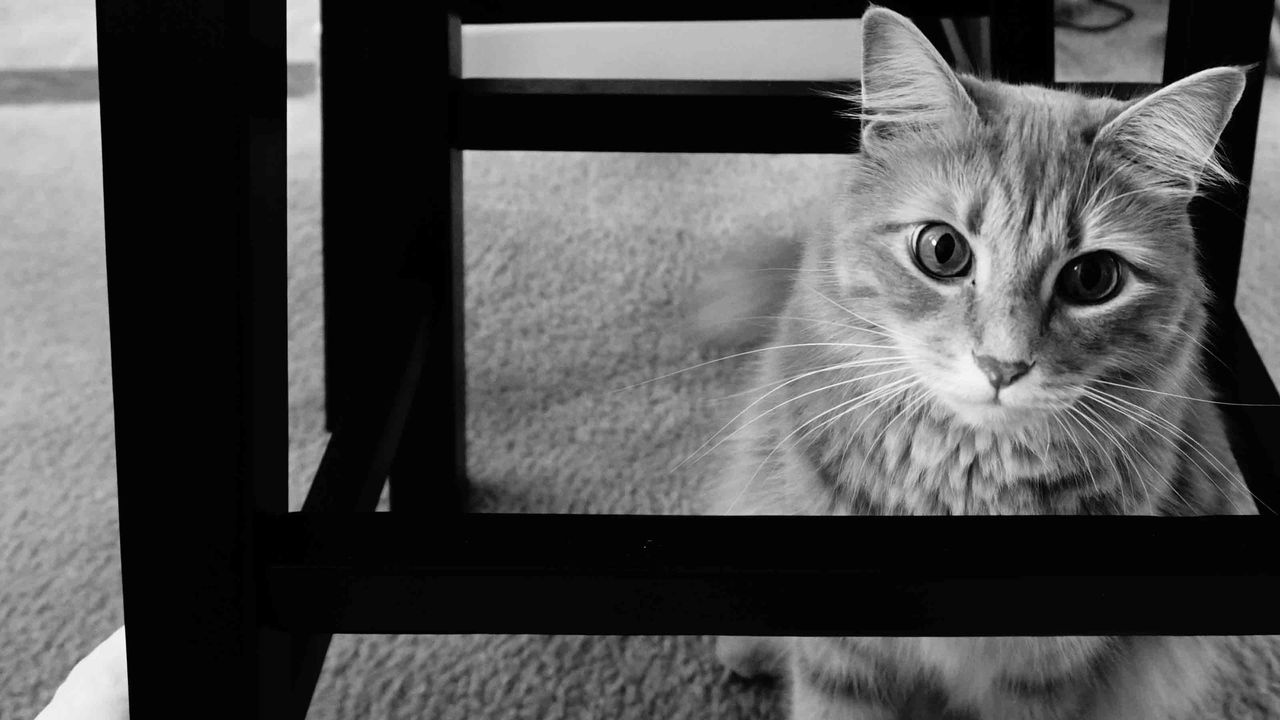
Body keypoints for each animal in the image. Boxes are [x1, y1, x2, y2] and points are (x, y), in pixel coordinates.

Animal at [711, 7, 1259, 717]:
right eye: (942, 250)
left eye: (1094, 279)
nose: (1002, 365)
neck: (965, 493)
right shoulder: (842, 660)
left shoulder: (1043, 677)